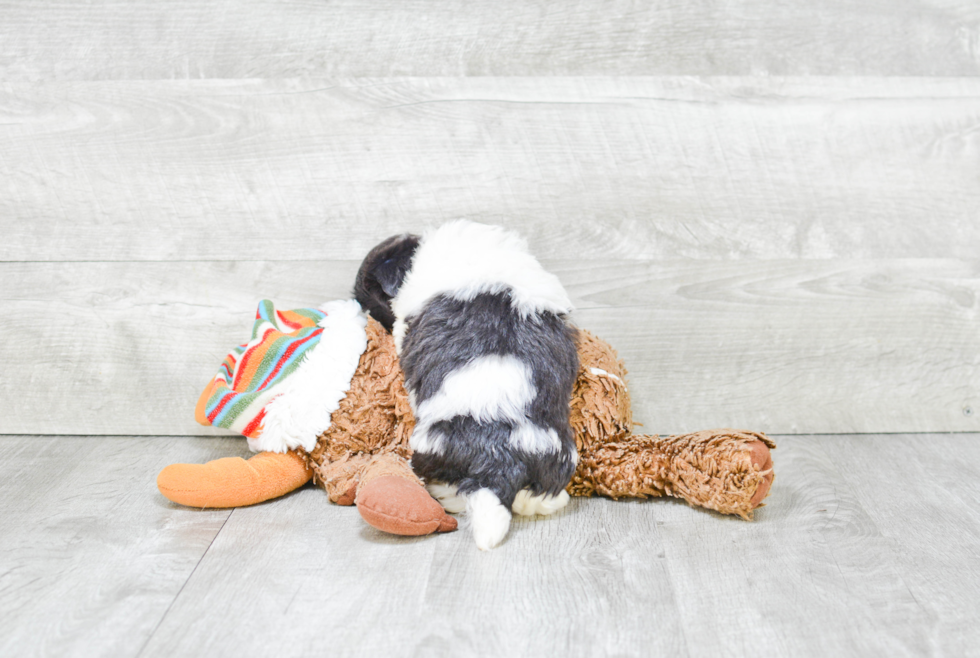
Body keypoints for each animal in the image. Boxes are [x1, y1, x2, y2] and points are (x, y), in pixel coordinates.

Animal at [354, 220, 580, 548]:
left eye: (371, 299)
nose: (366, 315)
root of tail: (498, 462)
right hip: (554, 456)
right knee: (538, 496)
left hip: (430, 452)